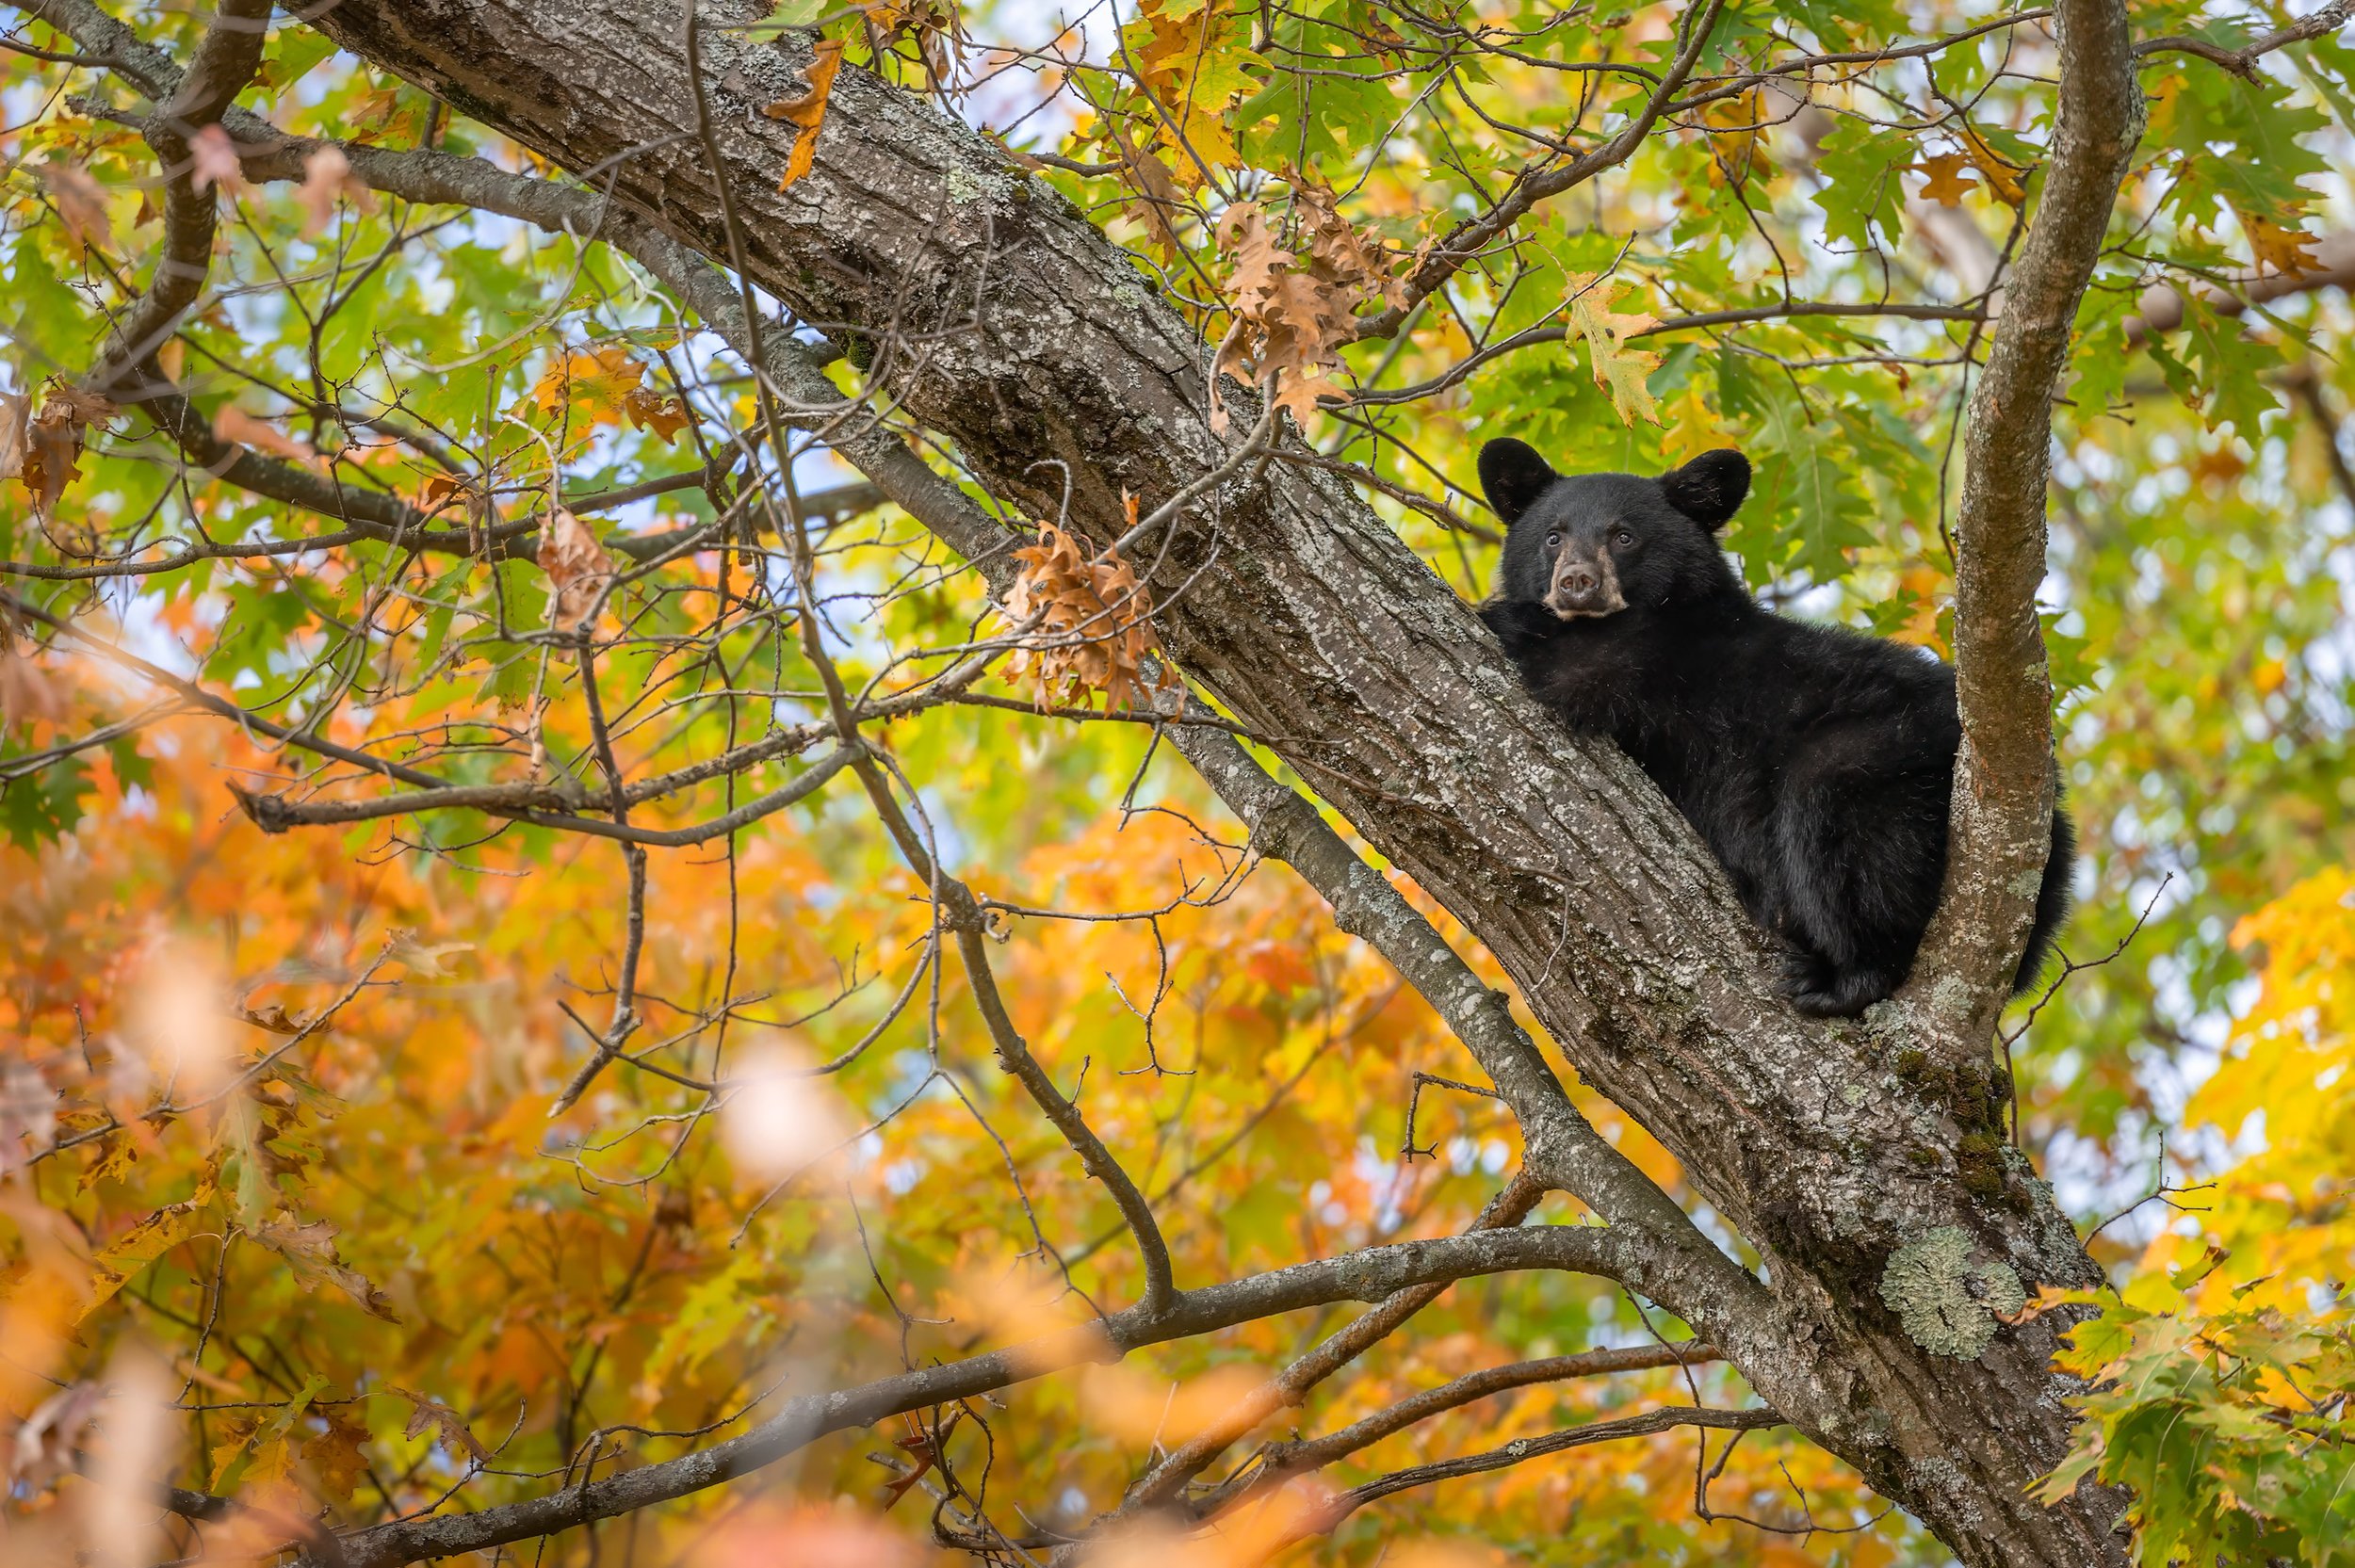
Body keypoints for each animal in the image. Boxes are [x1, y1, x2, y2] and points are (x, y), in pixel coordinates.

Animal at [1474, 437, 2073, 1017]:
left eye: (1624, 536)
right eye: (1553, 536)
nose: (1577, 583)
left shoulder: (1645, 661)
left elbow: (1572, 673)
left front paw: (1499, 615)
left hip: (1882, 762)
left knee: (1842, 839)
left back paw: (1844, 978)